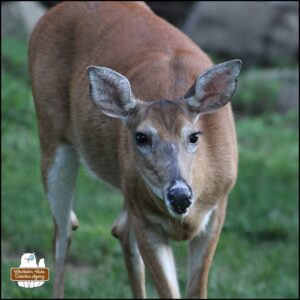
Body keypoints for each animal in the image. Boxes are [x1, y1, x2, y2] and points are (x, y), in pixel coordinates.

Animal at [28, 1, 241, 298]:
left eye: (194, 136)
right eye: (141, 137)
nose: (180, 195)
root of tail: (52, 12)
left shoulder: (218, 208)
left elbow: (196, 290)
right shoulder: (145, 220)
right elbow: (168, 291)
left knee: (118, 230)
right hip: (51, 134)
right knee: (63, 231)